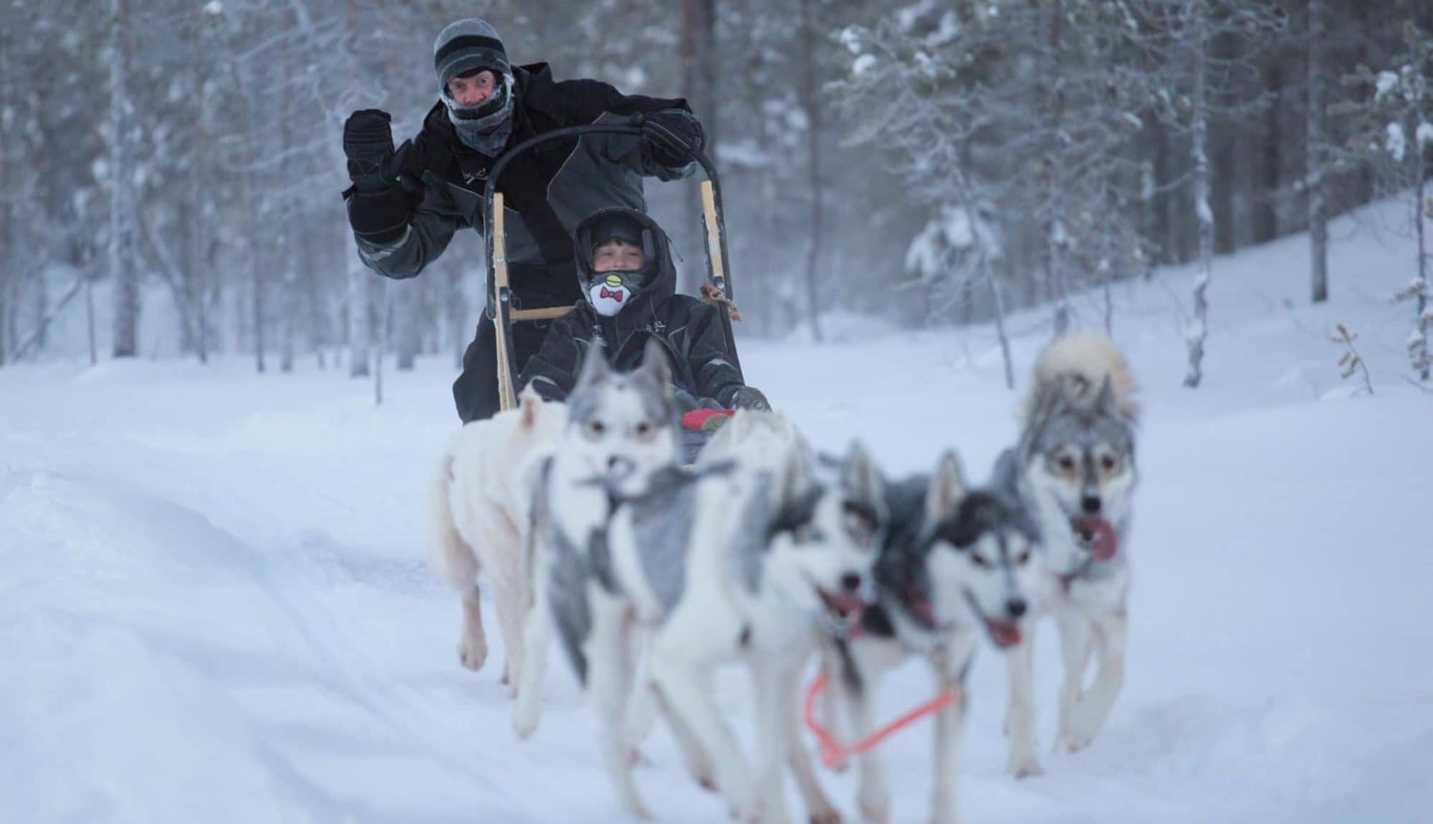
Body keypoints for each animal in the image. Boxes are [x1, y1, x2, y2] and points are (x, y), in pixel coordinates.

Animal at [831, 452, 1043, 824]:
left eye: (1023, 556)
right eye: (979, 557)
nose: (1017, 605)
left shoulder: (951, 680)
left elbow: (945, 776)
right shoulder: (860, 671)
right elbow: (871, 763)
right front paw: (873, 801)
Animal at [997, 329, 1140, 773]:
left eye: (1109, 461)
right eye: (1065, 461)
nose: (1092, 503)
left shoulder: (1101, 611)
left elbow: (1114, 671)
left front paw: (1080, 728)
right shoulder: (1020, 617)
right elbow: (1022, 696)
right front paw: (1024, 764)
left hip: (1078, 624)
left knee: (1074, 677)